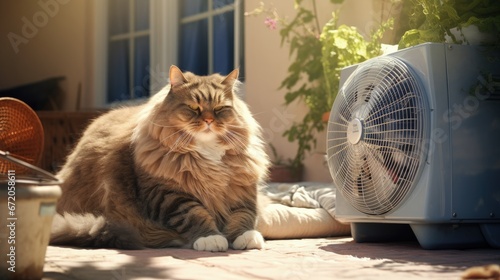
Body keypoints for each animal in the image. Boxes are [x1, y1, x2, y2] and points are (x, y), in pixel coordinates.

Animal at [50, 65, 270, 252]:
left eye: (219, 109)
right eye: (194, 108)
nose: (208, 120)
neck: (207, 151)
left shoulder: (242, 190)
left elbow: (244, 215)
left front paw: (246, 237)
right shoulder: (168, 194)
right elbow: (195, 214)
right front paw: (211, 239)